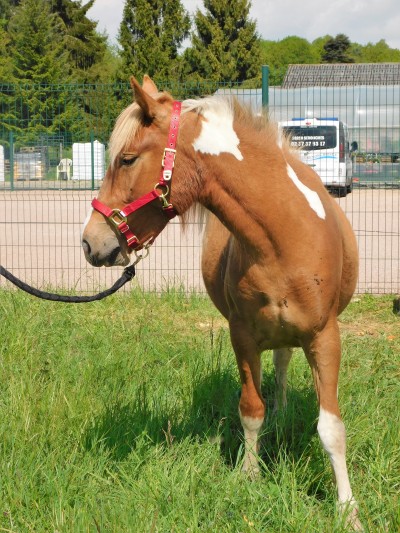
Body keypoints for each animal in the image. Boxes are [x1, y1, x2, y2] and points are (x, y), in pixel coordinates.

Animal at [81, 75, 362, 528]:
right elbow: (251, 409)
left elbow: (331, 428)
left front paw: (348, 510)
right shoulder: (243, 337)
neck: (284, 238)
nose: (91, 243)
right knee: (280, 362)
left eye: (126, 159)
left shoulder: (325, 337)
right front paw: (250, 478)